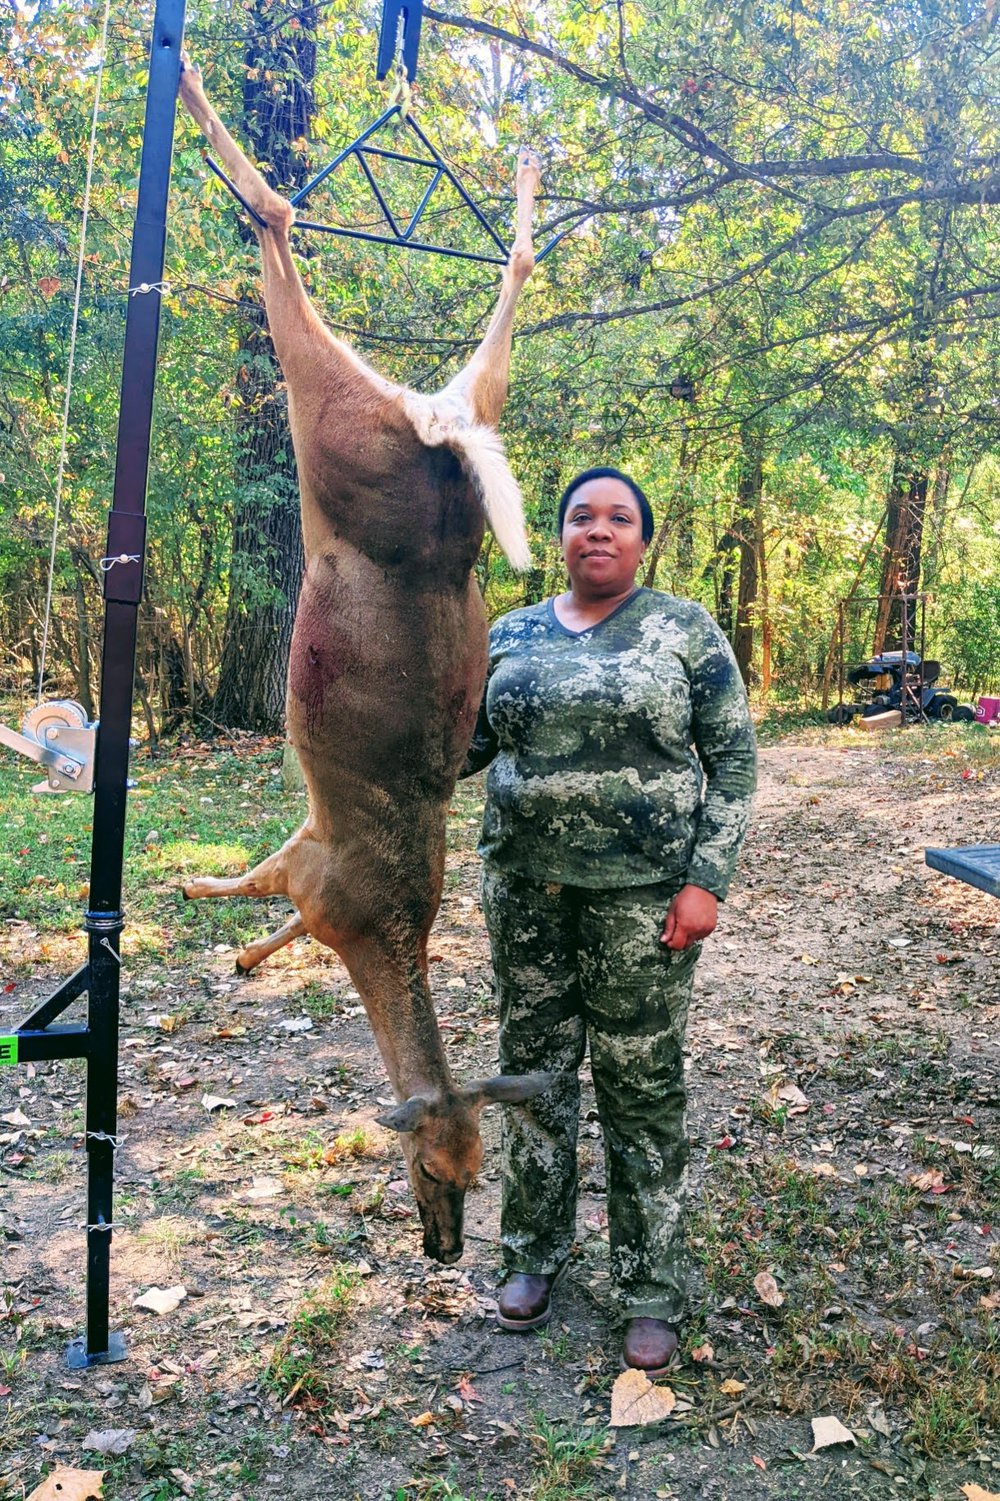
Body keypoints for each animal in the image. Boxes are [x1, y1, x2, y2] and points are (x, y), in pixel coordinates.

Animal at [174, 58, 549, 1260]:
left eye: (479, 1172)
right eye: (435, 1162)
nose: (445, 1249)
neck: (381, 926)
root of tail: (433, 423)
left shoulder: (312, 862)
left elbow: (268, 899)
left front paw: (226, 940)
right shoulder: (313, 869)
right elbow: (258, 890)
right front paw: (208, 910)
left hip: (362, 424)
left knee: (308, 232)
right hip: (382, 411)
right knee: (299, 229)